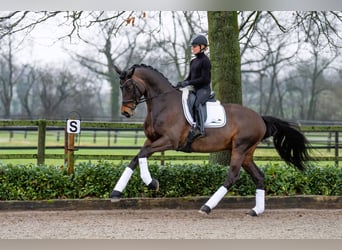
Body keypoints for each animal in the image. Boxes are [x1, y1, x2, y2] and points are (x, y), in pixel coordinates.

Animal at [111, 63, 312, 216]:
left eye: (129, 87)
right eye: (120, 87)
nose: (125, 112)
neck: (163, 103)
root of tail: (260, 118)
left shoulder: (169, 141)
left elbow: (142, 154)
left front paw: (151, 183)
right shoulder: (152, 140)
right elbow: (136, 158)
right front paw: (116, 192)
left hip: (240, 148)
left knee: (232, 176)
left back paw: (207, 207)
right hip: (246, 153)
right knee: (259, 176)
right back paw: (256, 210)